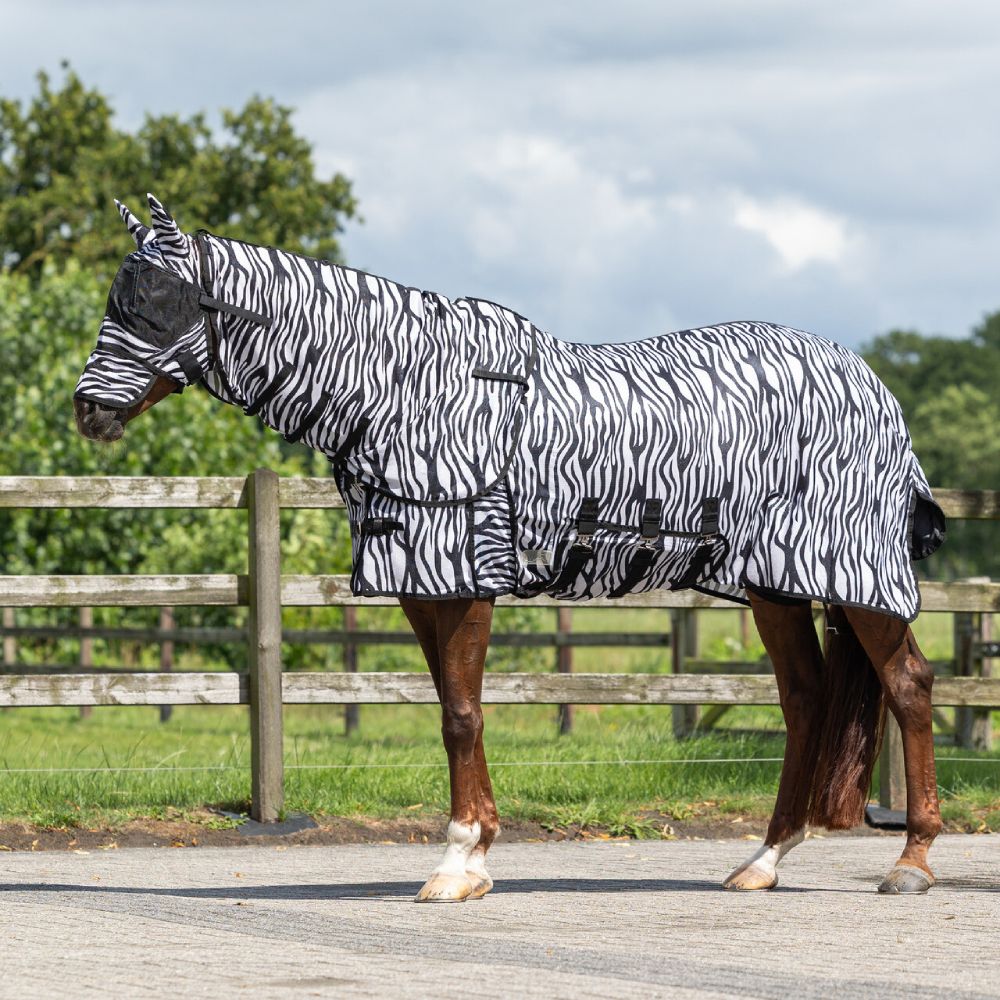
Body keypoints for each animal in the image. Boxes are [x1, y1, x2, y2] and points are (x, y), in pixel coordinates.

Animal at [75, 194, 946, 900]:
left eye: (156, 304)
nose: (89, 412)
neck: (404, 389)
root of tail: (871, 386)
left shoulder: (466, 576)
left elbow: (463, 716)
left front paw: (458, 864)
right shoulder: (420, 584)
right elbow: (452, 712)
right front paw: (474, 856)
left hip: (858, 581)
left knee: (908, 686)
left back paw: (911, 861)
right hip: (774, 586)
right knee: (805, 700)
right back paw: (764, 861)